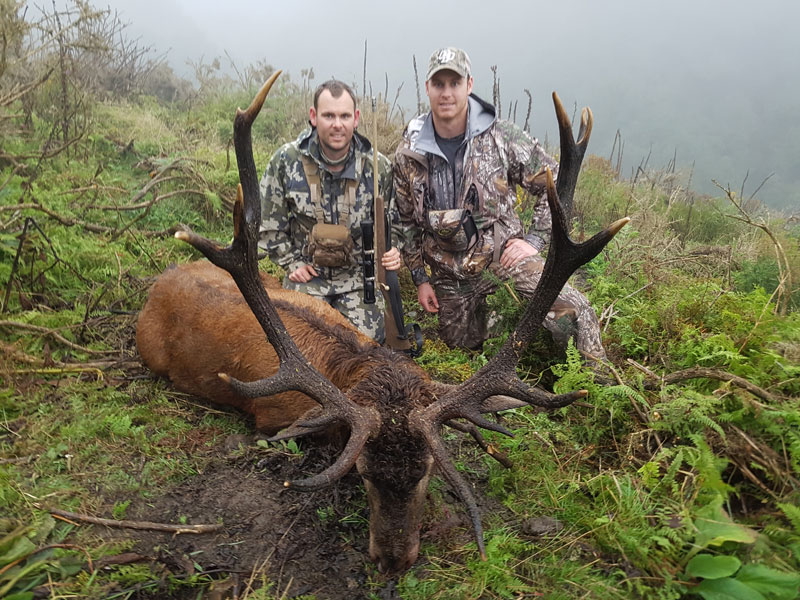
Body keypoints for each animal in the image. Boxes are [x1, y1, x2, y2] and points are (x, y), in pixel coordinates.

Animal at [136, 70, 629, 574]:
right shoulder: (273, 417)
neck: (355, 365)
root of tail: (160, 281)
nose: (394, 560)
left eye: (428, 469)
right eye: (362, 471)